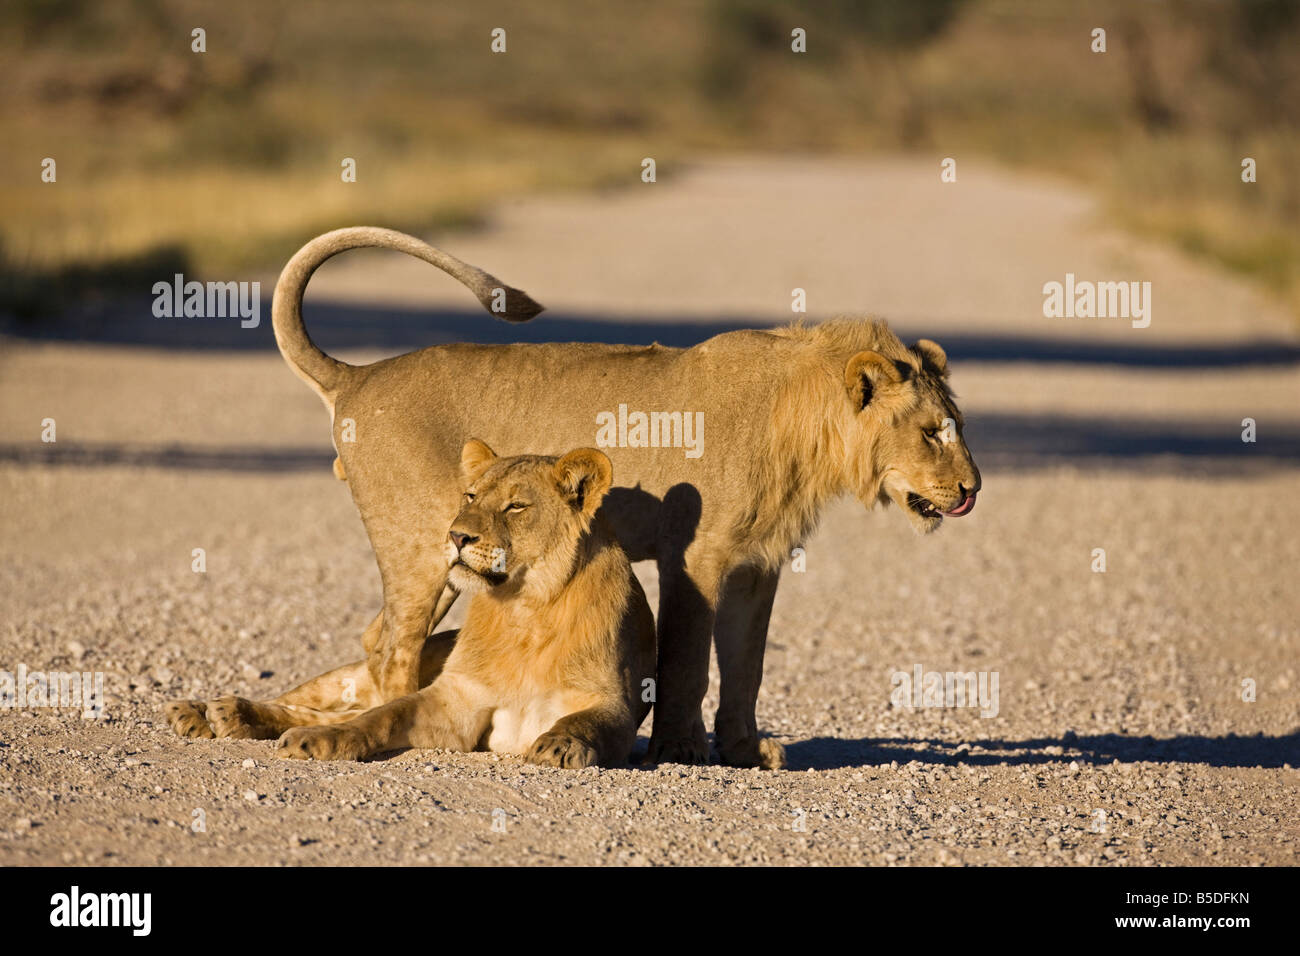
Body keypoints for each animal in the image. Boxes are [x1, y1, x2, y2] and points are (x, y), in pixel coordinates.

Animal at [166, 442, 656, 767]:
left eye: (516, 506)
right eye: (471, 496)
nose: (456, 535)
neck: (526, 608)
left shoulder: (614, 704)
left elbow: (588, 722)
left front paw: (561, 744)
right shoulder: (455, 700)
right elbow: (379, 718)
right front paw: (321, 739)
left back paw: (223, 716)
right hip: (354, 676)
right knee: (312, 701)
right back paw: (207, 711)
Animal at [259, 226, 980, 770]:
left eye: (957, 425)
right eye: (930, 432)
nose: (973, 490)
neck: (803, 430)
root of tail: (357, 376)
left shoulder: (759, 566)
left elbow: (746, 664)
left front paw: (746, 750)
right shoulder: (695, 555)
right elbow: (687, 660)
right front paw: (681, 749)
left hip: (450, 558)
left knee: (375, 633)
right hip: (424, 546)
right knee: (394, 646)